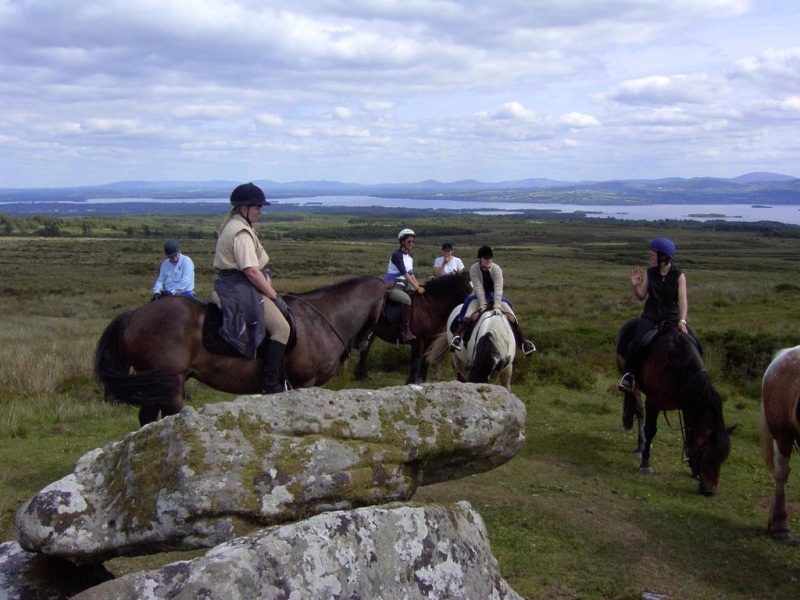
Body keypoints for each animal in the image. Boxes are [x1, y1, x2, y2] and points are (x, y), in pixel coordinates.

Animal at [95, 276, 390, 426]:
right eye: (390, 303)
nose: (362, 342)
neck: (322, 318)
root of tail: (134, 315)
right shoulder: (302, 383)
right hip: (170, 384)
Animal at [620, 318, 732, 496]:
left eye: (722, 458)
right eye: (707, 454)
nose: (710, 491)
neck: (675, 363)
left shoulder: (689, 405)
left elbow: (689, 433)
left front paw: (692, 469)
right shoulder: (653, 402)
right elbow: (651, 430)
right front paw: (645, 463)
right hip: (633, 384)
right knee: (638, 409)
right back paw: (641, 445)